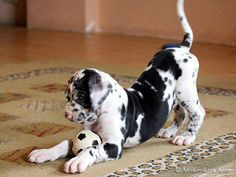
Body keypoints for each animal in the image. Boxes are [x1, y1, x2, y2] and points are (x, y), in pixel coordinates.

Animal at [27, 0, 205, 174]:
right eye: (67, 97)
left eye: (80, 96)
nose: (67, 115)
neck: (103, 112)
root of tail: (180, 48)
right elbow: (65, 143)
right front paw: (43, 153)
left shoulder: (113, 145)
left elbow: (91, 149)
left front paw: (77, 161)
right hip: (174, 97)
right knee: (180, 113)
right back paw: (169, 131)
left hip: (186, 91)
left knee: (198, 112)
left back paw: (187, 136)